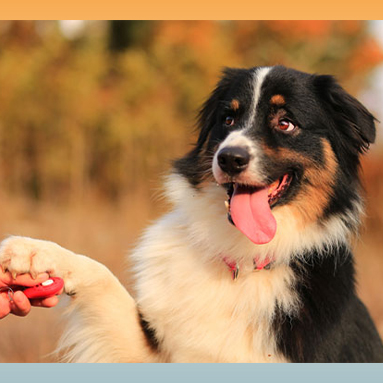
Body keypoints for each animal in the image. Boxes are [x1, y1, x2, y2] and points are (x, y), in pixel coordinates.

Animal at [0, 66, 383, 364]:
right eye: (227, 119)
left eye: (285, 122)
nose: (229, 158)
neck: (244, 261)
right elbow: (101, 275)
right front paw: (32, 252)